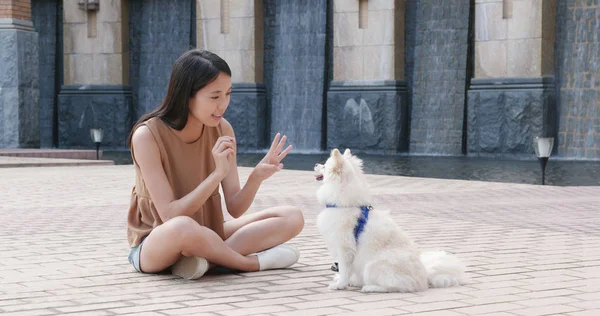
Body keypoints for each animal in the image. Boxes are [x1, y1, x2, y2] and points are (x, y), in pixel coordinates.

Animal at [316, 149, 466, 292]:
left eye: (324, 166)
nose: (316, 164)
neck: (346, 205)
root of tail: (425, 278)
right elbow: (350, 270)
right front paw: (351, 281)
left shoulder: (344, 247)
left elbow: (344, 269)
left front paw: (340, 285)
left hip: (373, 265)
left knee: (395, 286)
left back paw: (371, 287)